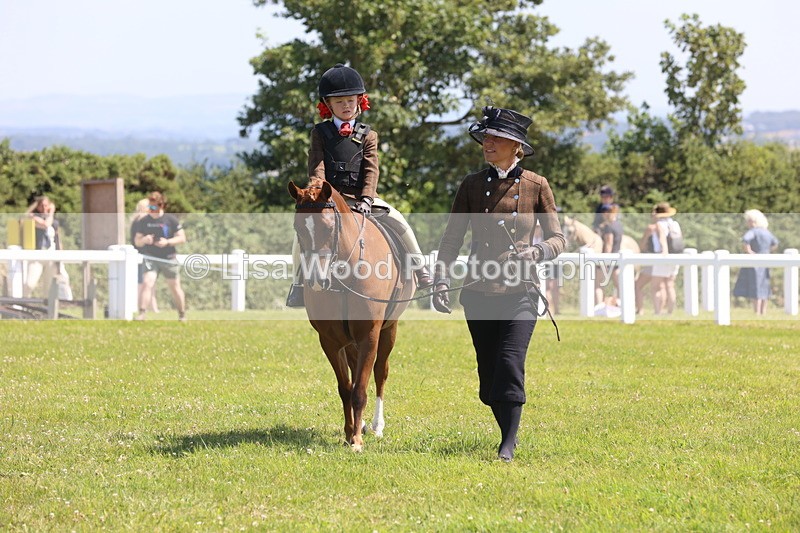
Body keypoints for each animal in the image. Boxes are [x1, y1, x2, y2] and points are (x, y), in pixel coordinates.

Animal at [287, 178, 416, 452]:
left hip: (389, 329)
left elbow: (360, 389)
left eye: (328, 227)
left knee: (380, 372)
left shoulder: (370, 335)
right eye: (298, 227)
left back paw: (376, 425)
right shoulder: (330, 341)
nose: (317, 280)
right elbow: (346, 388)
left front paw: (356, 440)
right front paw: (350, 433)